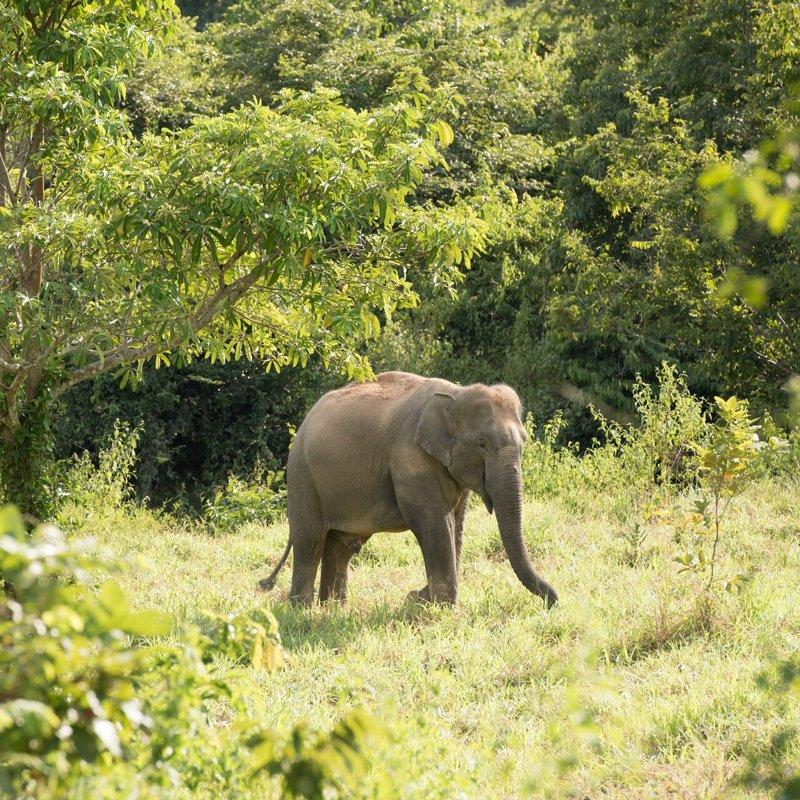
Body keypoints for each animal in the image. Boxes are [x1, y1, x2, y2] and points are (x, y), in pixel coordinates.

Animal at [259, 371, 558, 607]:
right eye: (482, 444)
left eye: (524, 442)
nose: (551, 603)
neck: (455, 394)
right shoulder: (410, 458)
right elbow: (434, 523)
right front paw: (439, 607)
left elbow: (456, 525)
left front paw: (426, 600)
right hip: (302, 476)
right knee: (310, 540)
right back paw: (303, 610)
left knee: (342, 545)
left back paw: (333, 608)